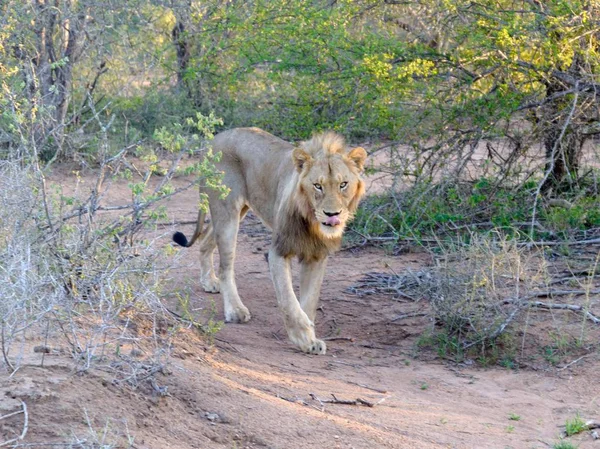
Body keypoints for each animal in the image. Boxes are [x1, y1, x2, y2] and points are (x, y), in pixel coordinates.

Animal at [173, 127, 368, 354]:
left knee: (205, 239)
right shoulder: (278, 251)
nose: (332, 214)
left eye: (343, 184)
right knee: (226, 266)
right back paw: (235, 310)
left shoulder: (317, 256)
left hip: (236, 212)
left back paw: (208, 281)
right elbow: (289, 300)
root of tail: (215, 139)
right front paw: (303, 337)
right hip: (227, 212)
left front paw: (310, 339)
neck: (312, 222)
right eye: (317, 186)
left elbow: (309, 301)